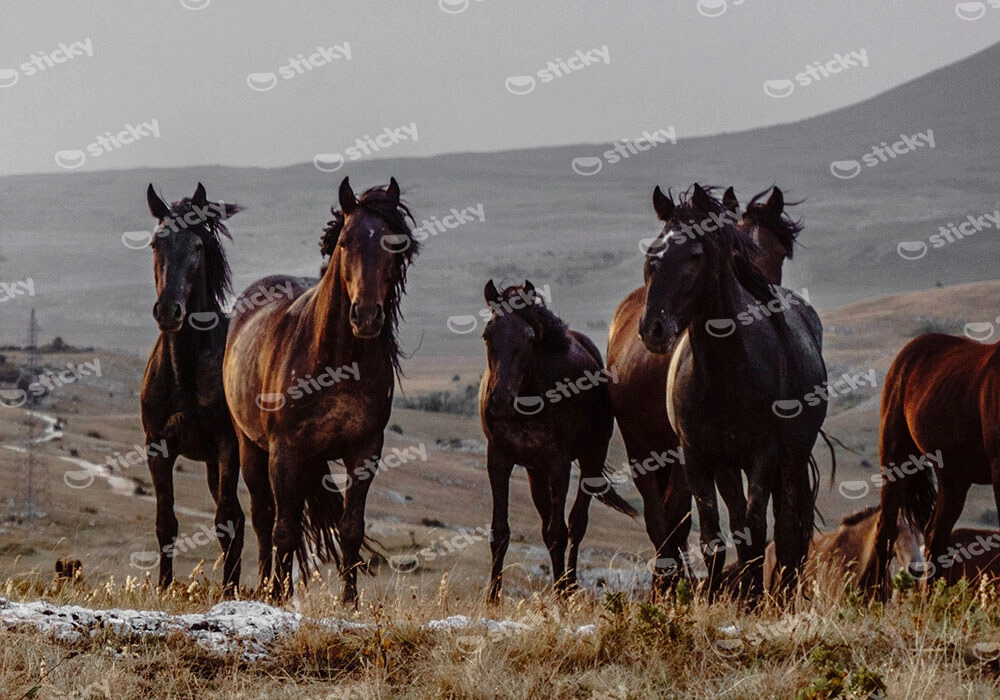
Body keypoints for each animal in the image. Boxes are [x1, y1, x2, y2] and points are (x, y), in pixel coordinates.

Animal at [140, 183, 245, 592]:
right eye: (156, 242)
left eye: (198, 246)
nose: (169, 311)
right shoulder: (158, 448)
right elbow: (165, 523)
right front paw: (164, 588)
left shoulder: (228, 447)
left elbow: (225, 522)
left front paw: (230, 593)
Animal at [223, 177, 417, 603]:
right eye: (344, 241)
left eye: (395, 243)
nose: (367, 316)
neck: (336, 361)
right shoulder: (285, 452)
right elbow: (282, 529)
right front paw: (277, 597)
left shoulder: (365, 450)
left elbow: (350, 527)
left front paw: (350, 601)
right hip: (251, 447)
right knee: (264, 517)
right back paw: (268, 585)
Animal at [479, 281, 638, 603]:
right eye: (488, 335)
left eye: (529, 338)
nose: (500, 401)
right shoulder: (499, 460)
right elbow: (500, 531)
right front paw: (492, 597)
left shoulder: (559, 464)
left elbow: (559, 532)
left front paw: (563, 594)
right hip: (535, 472)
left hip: (590, 459)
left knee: (576, 525)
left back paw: (570, 586)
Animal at [607, 186, 804, 592]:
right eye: (652, 254)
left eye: (781, 251)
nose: (654, 328)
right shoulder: (692, 454)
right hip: (641, 450)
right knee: (662, 521)